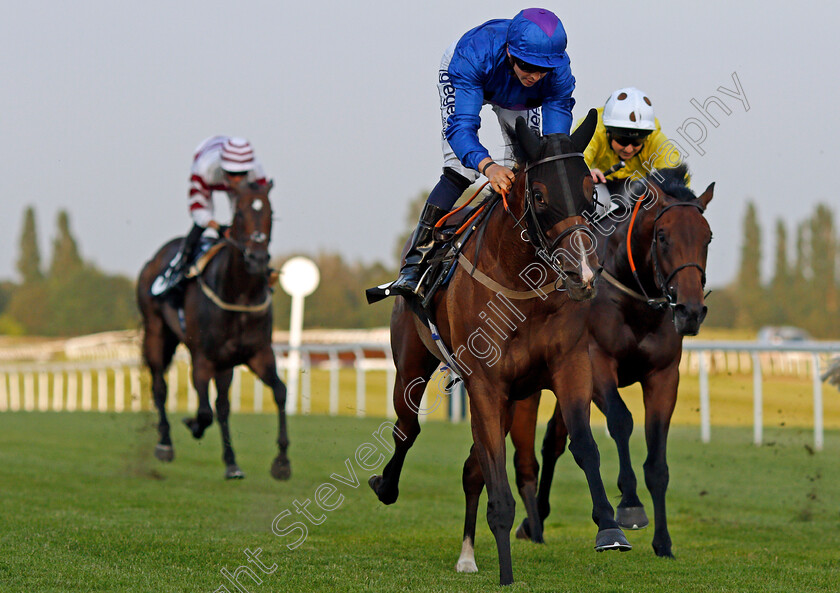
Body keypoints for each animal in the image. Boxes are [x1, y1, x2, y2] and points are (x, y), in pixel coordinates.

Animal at [133, 180, 288, 480]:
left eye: (272, 213)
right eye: (238, 213)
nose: (257, 258)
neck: (240, 294)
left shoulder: (259, 354)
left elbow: (280, 392)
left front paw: (282, 461)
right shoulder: (203, 358)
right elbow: (204, 412)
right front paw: (191, 423)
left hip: (224, 362)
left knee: (223, 406)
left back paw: (231, 463)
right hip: (157, 333)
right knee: (160, 386)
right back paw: (165, 443)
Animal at [370, 112, 632, 588]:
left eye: (591, 193)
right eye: (541, 196)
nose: (584, 274)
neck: (521, 287)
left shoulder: (567, 368)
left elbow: (584, 447)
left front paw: (610, 527)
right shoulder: (486, 386)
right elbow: (499, 487)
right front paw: (507, 572)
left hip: (511, 398)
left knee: (471, 469)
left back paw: (467, 554)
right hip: (412, 364)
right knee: (407, 428)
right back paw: (388, 487)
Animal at [498, 165, 716, 556]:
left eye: (707, 237)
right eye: (663, 236)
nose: (690, 311)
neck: (635, 302)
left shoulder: (664, 375)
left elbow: (657, 458)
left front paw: (663, 541)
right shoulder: (597, 363)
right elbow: (621, 420)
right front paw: (629, 505)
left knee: (554, 439)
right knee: (534, 450)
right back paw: (534, 521)